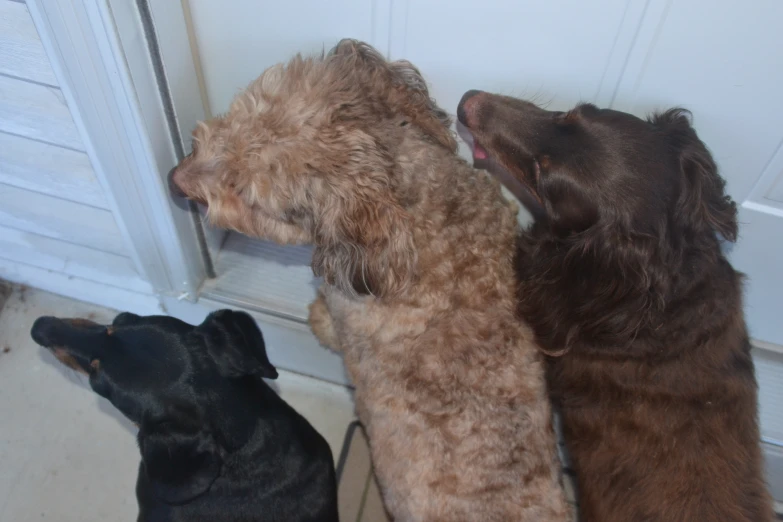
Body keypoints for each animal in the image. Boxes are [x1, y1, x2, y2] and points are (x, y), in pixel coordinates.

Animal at [172, 40, 568, 520]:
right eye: (235, 116)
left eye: (244, 193)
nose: (174, 180)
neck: (418, 213)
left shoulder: (346, 309)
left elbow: (330, 319)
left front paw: (316, 317)